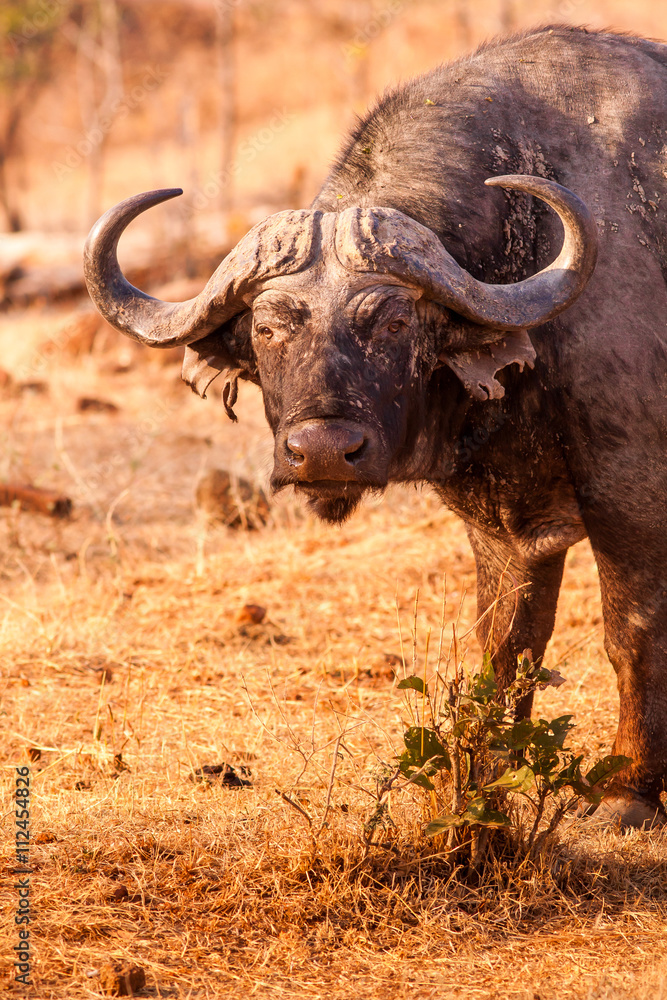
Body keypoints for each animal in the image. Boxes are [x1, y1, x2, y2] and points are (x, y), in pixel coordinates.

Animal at [84, 25, 667, 828]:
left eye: (393, 321)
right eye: (267, 327)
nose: (324, 452)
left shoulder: (629, 490)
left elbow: (629, 630)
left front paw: (627, 792)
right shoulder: (502, 528)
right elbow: (506, 646)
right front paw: (487, 777)